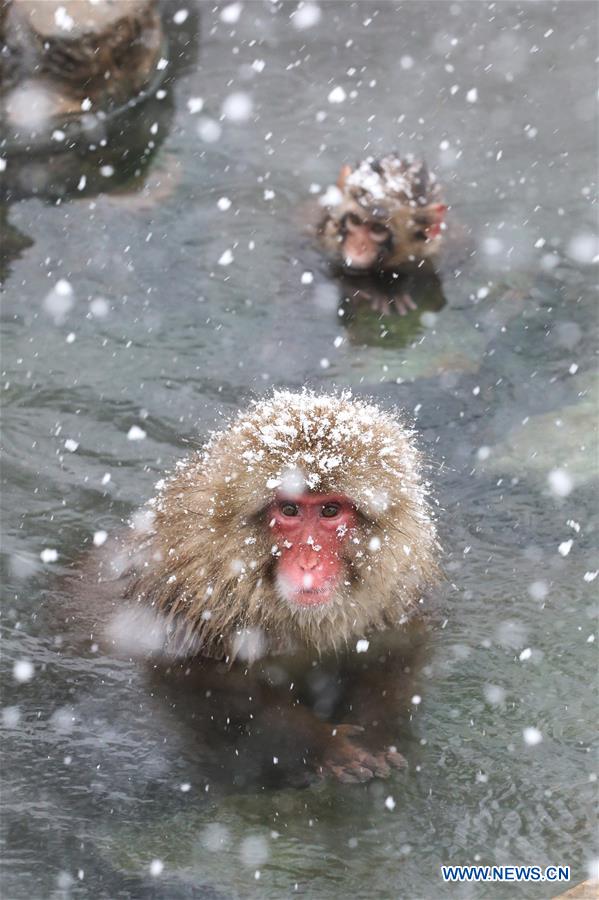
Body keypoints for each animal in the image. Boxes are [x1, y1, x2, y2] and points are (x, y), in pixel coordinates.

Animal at [66, 391, 439, 785]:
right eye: (290, 509)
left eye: (330, 510)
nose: (309, 562)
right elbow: (213, 690)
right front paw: (330, 745)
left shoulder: (392, 599)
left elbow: (396, 656)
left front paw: (376, 735)